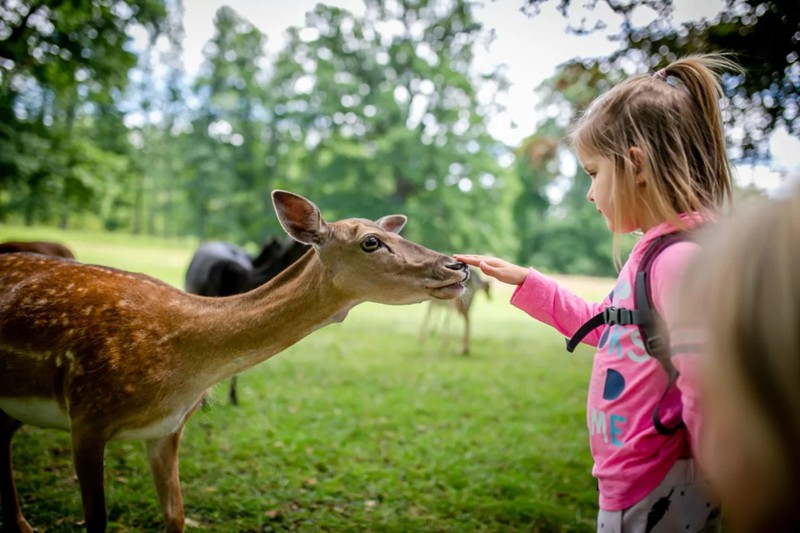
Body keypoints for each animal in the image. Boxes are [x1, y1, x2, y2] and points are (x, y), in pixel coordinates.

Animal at [0, 191, 468, 532]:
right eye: (371, 242)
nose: (458, 265)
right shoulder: (86, 415)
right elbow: (96, 520)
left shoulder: (168, 428)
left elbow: (176, 517)